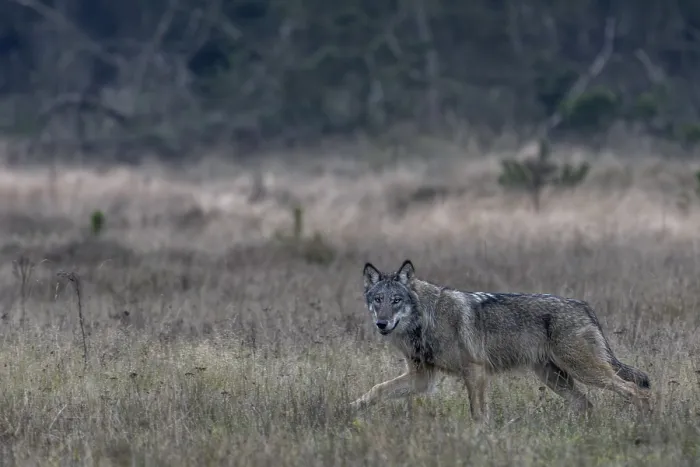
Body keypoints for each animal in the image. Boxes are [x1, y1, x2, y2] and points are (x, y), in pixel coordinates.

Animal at [350, 259, 652, 420]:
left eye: (396, 300)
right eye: (378, 300)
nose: (382, 323)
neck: (426, 319)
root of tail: (584, 306)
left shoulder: (475, 371)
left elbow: (478, 412)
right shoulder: (422, 378)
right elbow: (377, 389)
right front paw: (350, 407)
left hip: (584, 372)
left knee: (634, 389)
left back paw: (643, 422)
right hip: (555, 378)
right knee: (587, 404)